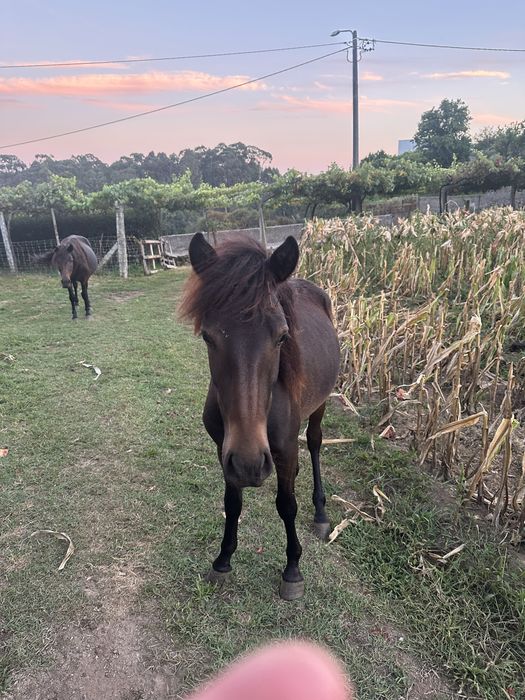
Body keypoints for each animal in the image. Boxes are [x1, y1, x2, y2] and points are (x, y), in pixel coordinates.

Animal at [180, 233, 340, 600]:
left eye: (282, 336)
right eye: (208, 336)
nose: (250, 462)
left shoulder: (280, 447)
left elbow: (287, 505)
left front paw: (292, 569)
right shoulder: (225, 451)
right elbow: (232, 502)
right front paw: (222, 561)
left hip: (320, 407)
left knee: (314, 444)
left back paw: (321, 513)